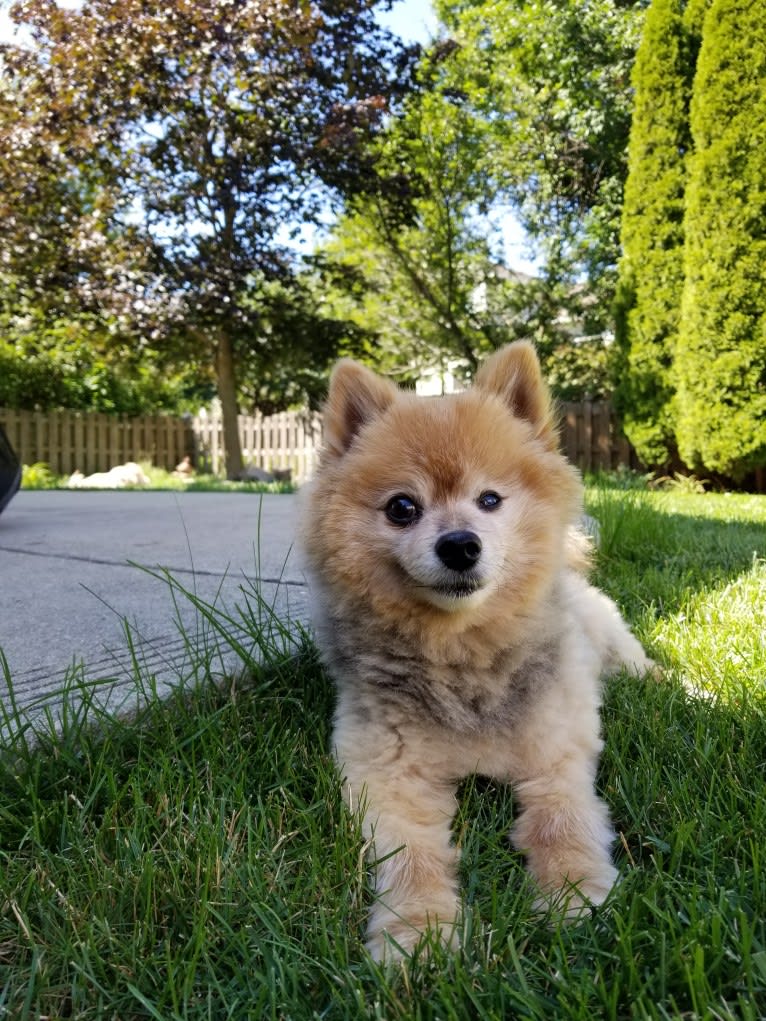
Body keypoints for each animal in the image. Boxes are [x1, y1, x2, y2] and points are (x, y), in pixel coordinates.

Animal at [300, 341, 653, 955]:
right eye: (402, 508)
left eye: (490, 499)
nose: (460, 544)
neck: (461, 654)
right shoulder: (386, 778)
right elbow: (412, 856)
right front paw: (418, 930)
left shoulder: (556, 757)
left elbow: (561, 822)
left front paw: (574, 893)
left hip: (613, 643)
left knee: (642, 666)